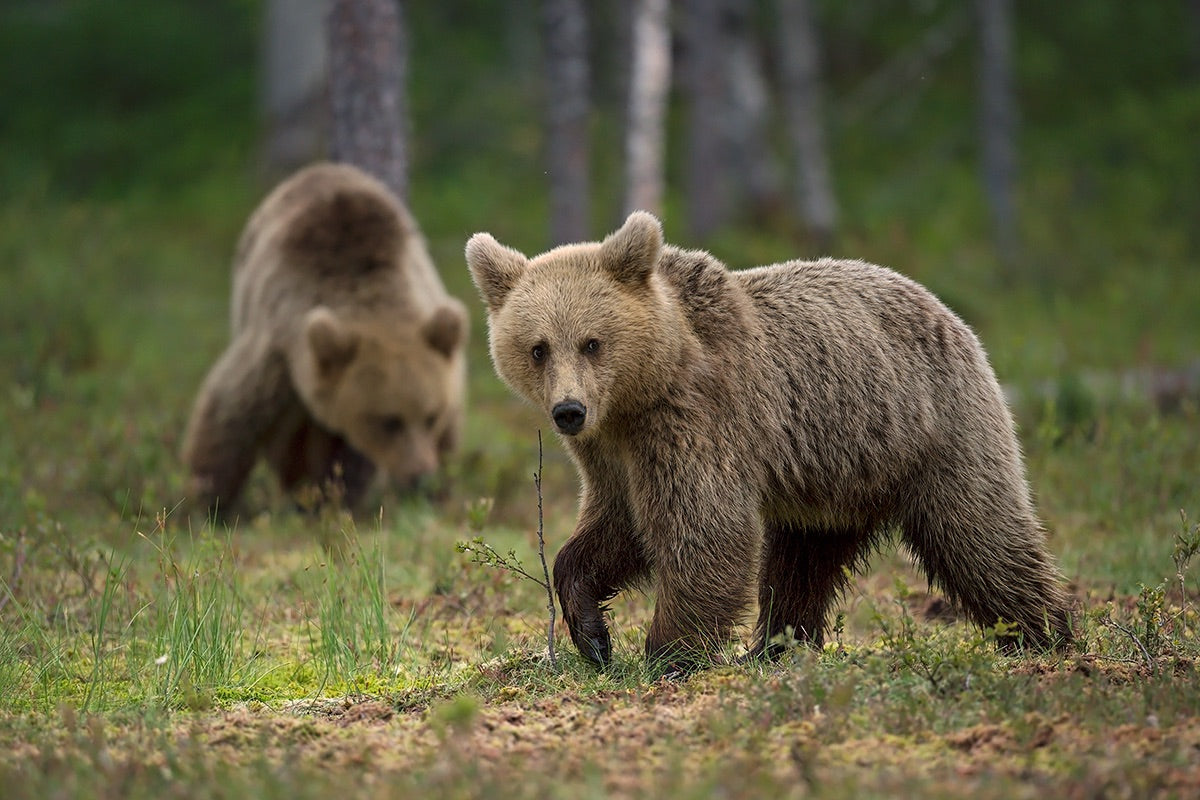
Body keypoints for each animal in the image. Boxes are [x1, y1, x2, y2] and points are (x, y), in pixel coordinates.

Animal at [180, 163, 465, 520]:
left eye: (430, 416)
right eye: (389, 421)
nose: (421, 475)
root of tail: (320, 168)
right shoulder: (280, 348)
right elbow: (231, 413)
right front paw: (208, 502)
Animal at [463, 211, 1075, 671]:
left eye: (592, 342)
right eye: (538, 347)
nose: (569, 411)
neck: (640, 393)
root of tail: (950, 312)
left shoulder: (696, 421)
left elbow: (705, 531)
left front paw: (667, 654)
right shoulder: (613, 453)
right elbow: (615, 528)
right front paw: (592, 634)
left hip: (936, 429)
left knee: (979, 536)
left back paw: (1047, 633)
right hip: (832, 480)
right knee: (801, 563)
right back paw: (775, 648)